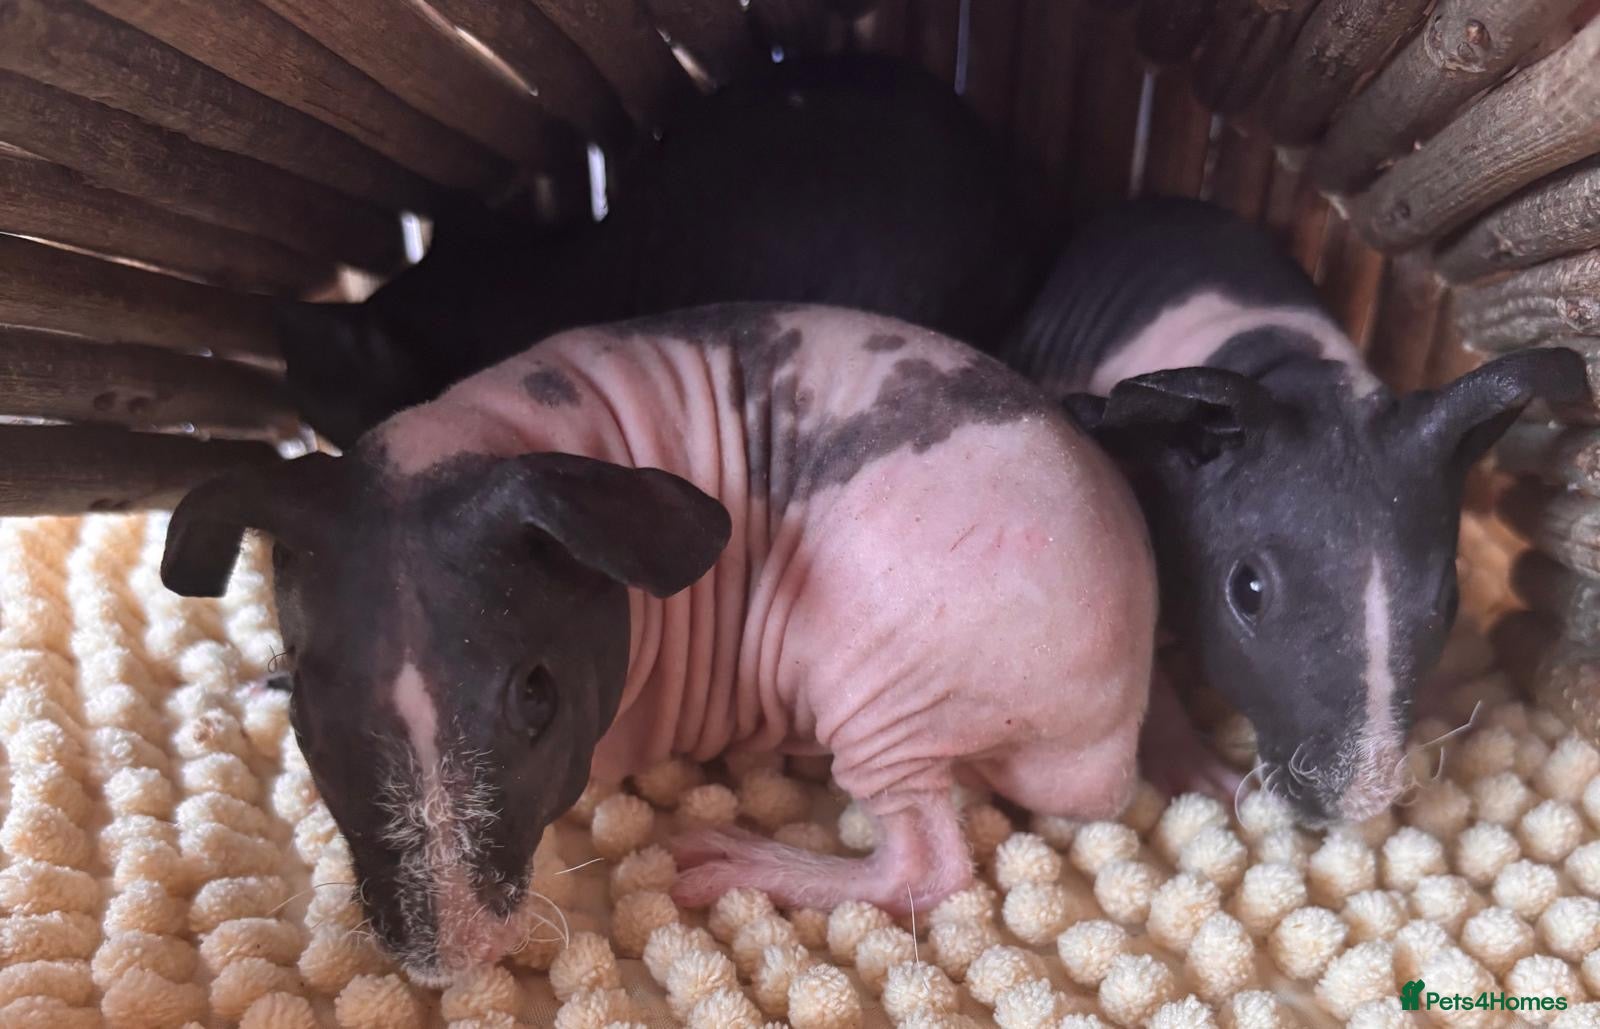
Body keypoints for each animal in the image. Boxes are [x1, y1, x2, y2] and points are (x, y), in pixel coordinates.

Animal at [160, 302, 1157, 985]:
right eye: (304, 699)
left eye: (537, 696)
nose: (456, 957)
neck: (480, 438)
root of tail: (1119, 732)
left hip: (878, 666)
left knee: (929, 865)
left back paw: (747, 864)